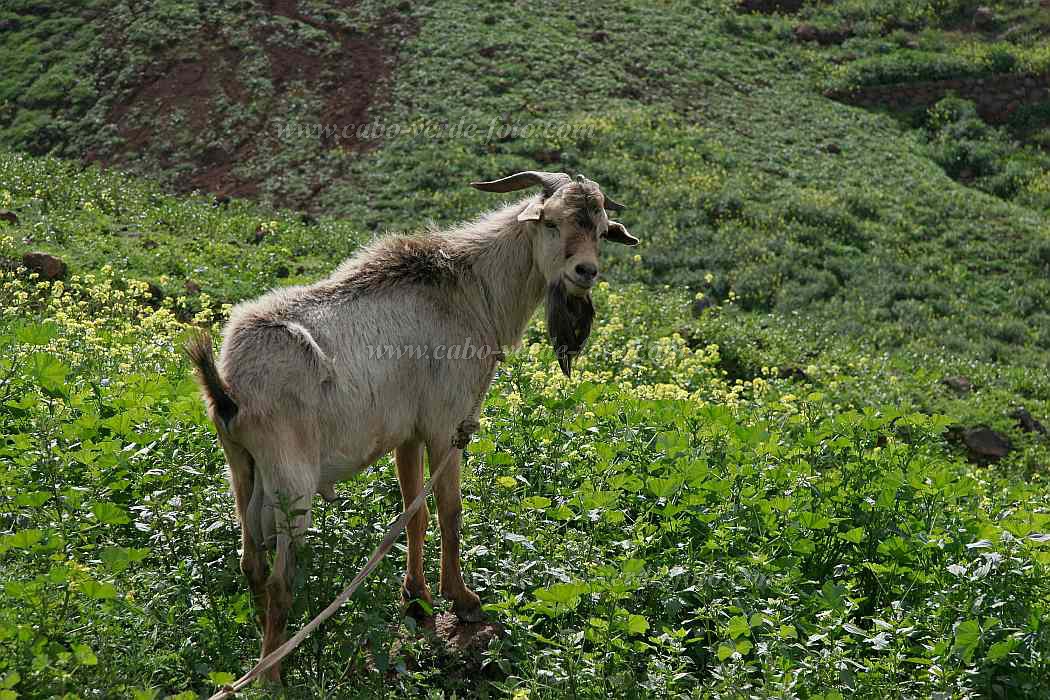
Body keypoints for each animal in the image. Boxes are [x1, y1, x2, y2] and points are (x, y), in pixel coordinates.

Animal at [184, 172, 634, 680]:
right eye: (552, 222)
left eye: (601, 230)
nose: (585, 271)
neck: (472, 288)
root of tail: (229, 387)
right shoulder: (446, 426)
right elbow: (450, 511)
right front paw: (463, 600)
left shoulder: (407, 434)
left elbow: (413, 513)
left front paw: (416, 599)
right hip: (290, 483)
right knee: (281, 579)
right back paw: (273, 676)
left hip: (242, 470)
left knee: (252, 566)